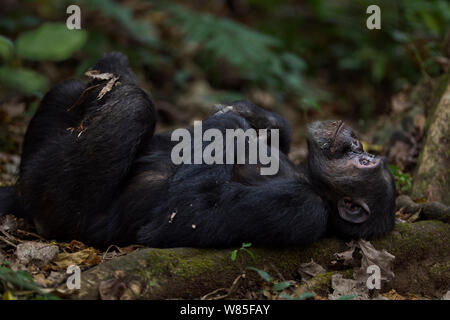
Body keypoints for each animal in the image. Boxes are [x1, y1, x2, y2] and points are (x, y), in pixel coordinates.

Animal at [0, 52, 394, 248]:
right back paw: (111, 70)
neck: (310, 182)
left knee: (136, 108)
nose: (352, 136)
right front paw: (245, 113)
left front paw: (230, 125)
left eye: (363, 160)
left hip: (55, 204)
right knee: (70, 90)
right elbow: (276, 133)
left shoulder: (301, 210)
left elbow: (182, 217)